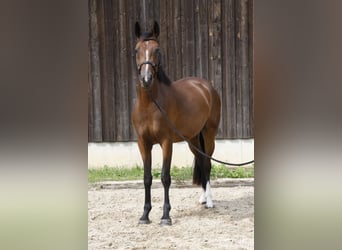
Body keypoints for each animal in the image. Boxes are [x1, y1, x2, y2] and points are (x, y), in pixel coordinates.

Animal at [132, 20, 220, 226]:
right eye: (137, 50)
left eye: (157, 50)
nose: (146, 79)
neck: (150, 105)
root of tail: (205, 86)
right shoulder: (143, 143)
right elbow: (147, 177)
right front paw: (145, 215)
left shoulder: (166, 142)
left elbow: (165, 177)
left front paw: (166, 216)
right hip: (193, 139)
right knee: (200, 160)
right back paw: (202, 198)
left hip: (209, 136)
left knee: (207, 163)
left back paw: (209, 201)